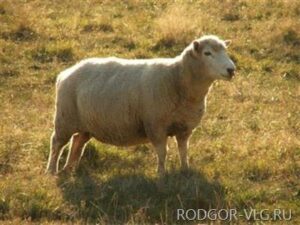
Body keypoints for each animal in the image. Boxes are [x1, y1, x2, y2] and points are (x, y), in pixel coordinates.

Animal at [45, 34, 236, 176]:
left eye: (226, 51)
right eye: (207, 53)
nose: (231, 70)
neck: (177, 78)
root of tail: (65, 73)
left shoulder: (185, 128)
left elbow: (183, 150)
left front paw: (185, 170)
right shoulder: (156, 126)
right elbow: (163, 152)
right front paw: (162, 175)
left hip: (86, 124)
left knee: (77, 141)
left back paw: (70, 169)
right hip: (65, 118)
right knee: (57, 143)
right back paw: (52, 171)